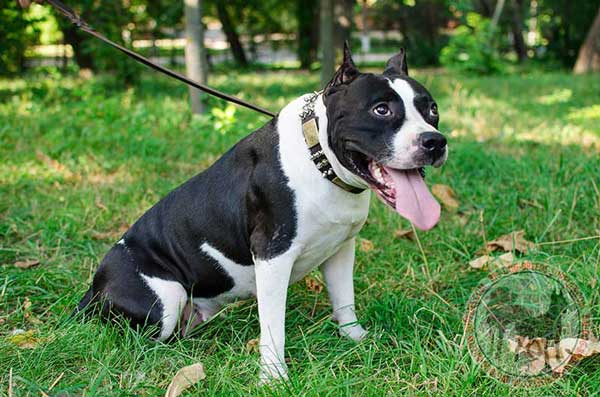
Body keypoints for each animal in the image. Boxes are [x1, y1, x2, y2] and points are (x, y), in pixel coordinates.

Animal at [76, 45, 446, 380]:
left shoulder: (341, 249)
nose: (435, 141)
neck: (320, 161)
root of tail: (93, 289)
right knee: (145, 339)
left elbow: (345, 298)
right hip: (166, 298)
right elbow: (273, 326)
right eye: (381, 110)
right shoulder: (272, 256)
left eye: (432, 110)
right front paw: (273, 376)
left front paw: (355, 338)